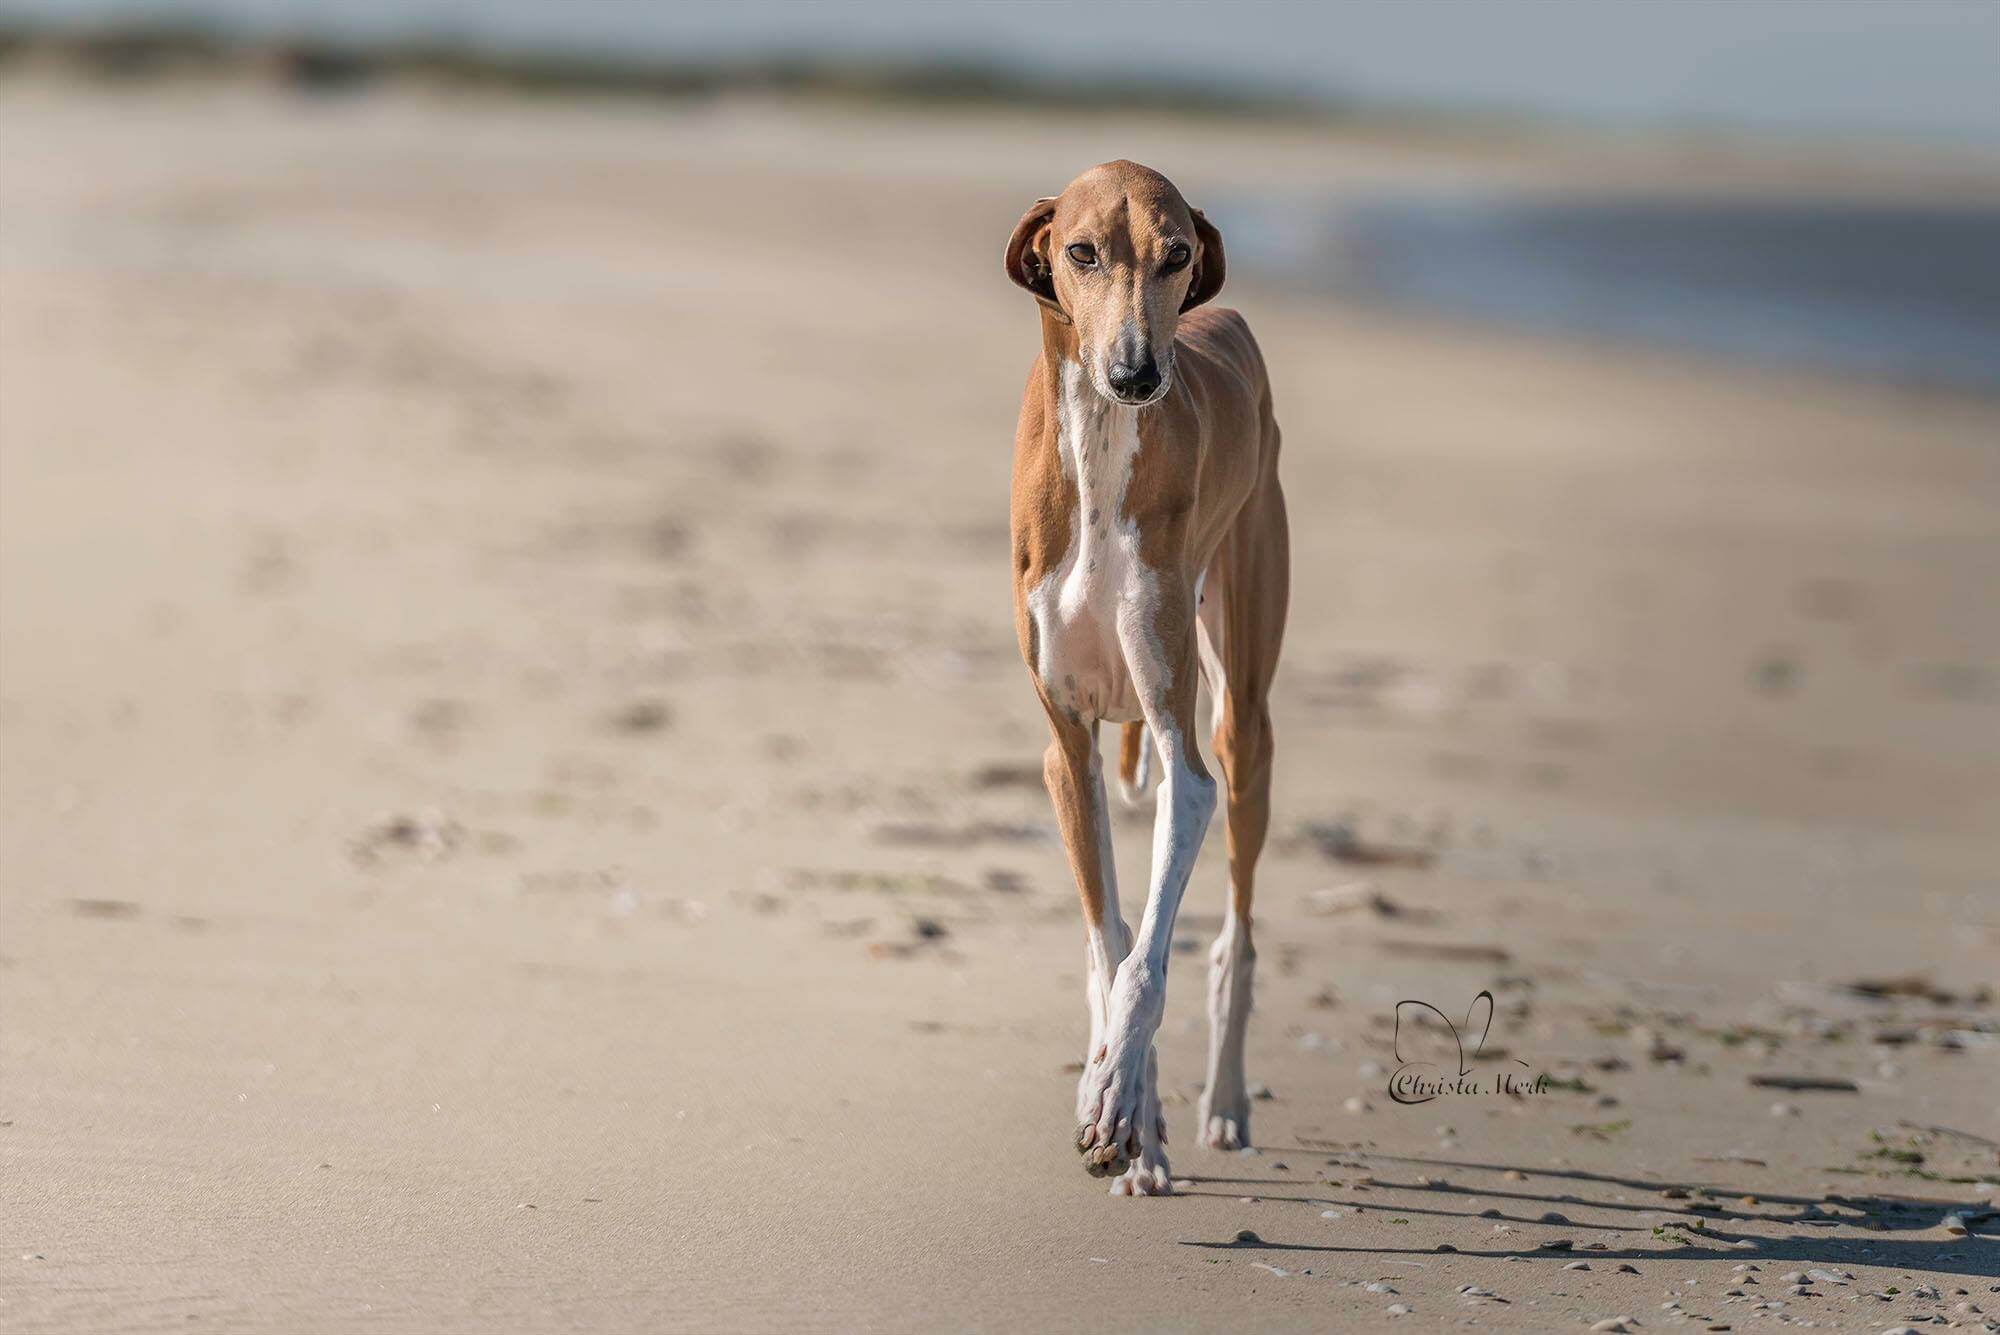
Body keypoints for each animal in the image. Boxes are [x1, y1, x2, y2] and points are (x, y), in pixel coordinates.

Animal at [1008, 161, 1288, 1191]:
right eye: (1082, 251)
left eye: (1177, 253)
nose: (1137, 373)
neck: (1100, 456)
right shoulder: (1067, 748)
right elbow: (1111, 943)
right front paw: (1130, 1112)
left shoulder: (1185, 757)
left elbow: (1148, 962)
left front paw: (1119, 1104)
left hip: (1242, 723)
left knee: (1234, 940)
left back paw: (1226, 1105)